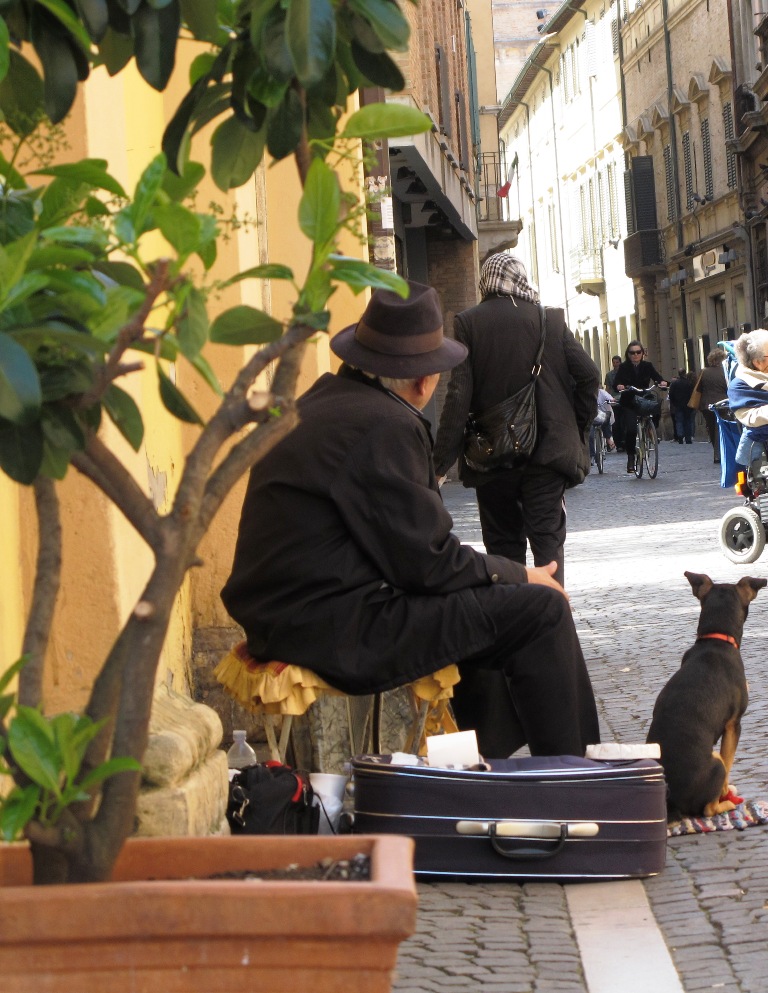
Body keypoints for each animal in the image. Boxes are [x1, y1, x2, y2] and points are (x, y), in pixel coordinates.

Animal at [644, 572, 764, 812]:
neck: (716, 639)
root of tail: (673, 802)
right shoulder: (733, 725)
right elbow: (729, 762)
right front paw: (726, 793)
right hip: (715, 760)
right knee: (709, 808)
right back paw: (728, 804)